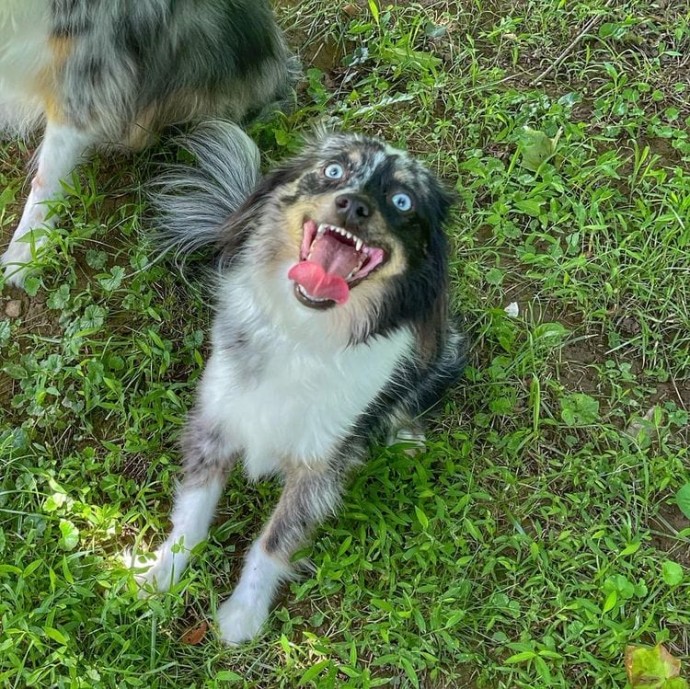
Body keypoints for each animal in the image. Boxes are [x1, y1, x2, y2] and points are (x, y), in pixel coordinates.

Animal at [133, 122, 468, 644]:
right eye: (333, 171)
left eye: (402, 201)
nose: (353, 206)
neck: (303, 331)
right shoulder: (215, 423)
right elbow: (192, 512)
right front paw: (162, 574)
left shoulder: (320, 466)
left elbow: (273, 541)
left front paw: (242, 614)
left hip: (444, 350)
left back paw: (405, 433)